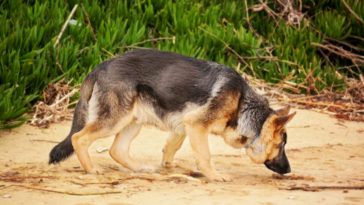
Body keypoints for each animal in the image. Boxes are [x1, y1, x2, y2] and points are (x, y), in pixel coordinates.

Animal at [49, 49, 296, 181]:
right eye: (281, 146)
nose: (289, 170)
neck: (242, 105)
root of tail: (98, 68)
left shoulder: (184, 125)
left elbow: (171, 147)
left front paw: (168, 166)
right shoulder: (197, 126)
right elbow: (205, 155)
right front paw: (214, 175)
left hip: (133, 121)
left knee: (116, 150)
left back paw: (140, 168)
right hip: (113, 121)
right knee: (78, 138)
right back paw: (91, 169)